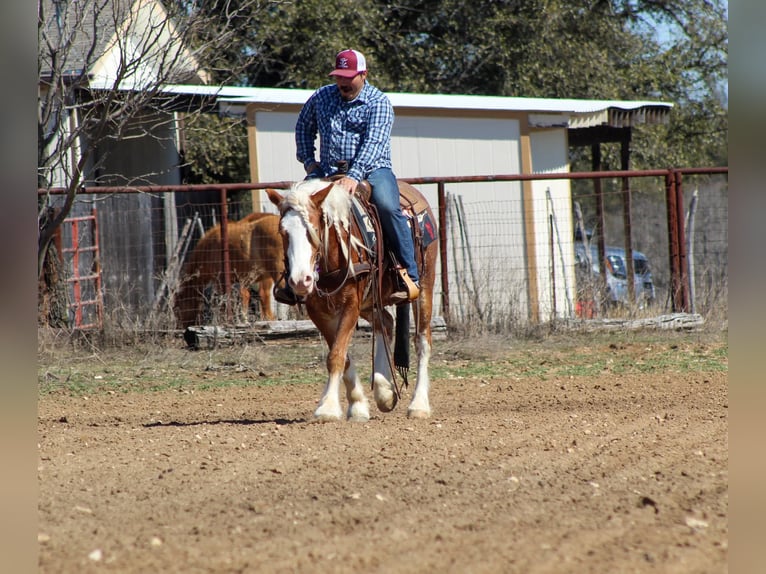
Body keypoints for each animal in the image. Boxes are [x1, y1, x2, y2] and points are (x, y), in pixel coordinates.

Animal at [268, 180, 438, 424]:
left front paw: (327, 408)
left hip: (425, 286)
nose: (300, 280)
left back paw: (419, 404)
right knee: (386, 322)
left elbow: (336, 355)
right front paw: (357, 405)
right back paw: (384, 391)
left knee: (422, 341)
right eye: (283, 232)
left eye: (315, 230)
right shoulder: (318, 312)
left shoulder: (351, 306)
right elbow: (341, 355)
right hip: (371, 302)